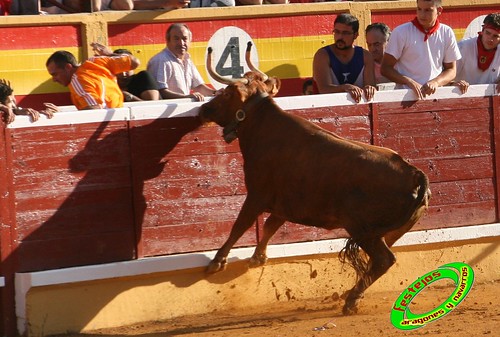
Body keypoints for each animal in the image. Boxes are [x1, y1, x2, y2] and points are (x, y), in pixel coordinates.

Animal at [198, 50, 430, 316]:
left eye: (226, 93)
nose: (203, 109)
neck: (263, 126)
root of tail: (415, 174)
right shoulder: (284, 204)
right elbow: (269, 226)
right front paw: (258, 258)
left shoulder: (256, 195)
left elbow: (240, 225)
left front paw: (217, 262)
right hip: (389, 233)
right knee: (377, 262)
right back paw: (352, 296)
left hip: (362, 230)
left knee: (383, 260)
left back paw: (351, 300)